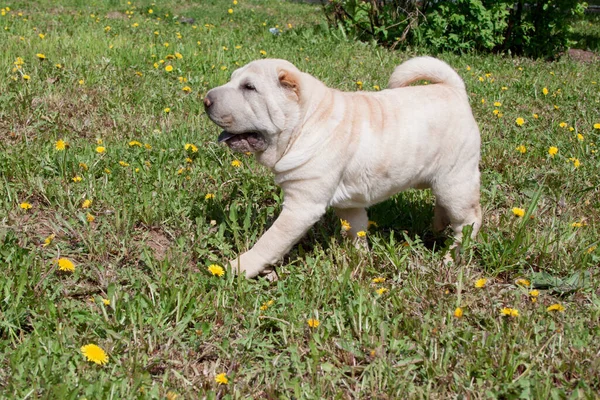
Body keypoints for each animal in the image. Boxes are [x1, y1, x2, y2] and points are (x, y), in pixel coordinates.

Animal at [204, 56, 480, 278]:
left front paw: (237, 268)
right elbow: (356, 231)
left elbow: (270, 241)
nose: (205, 100)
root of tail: (455, 90)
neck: (304, 123)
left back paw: (451, 257)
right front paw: (360, 258)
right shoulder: (350, 205)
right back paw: (437, 227)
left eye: (249, 87)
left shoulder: (301, 206)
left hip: (455, 182)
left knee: (469, 221)